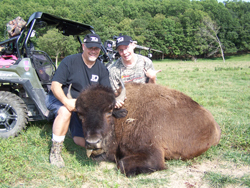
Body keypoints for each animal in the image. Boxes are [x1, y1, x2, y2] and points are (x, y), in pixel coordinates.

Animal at [74, 82, 221, 176]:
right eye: (80, 114)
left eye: (109, 111)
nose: (93, 142)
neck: (123, 117)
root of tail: (214, 123)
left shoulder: (152, 154)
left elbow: (122, 164)